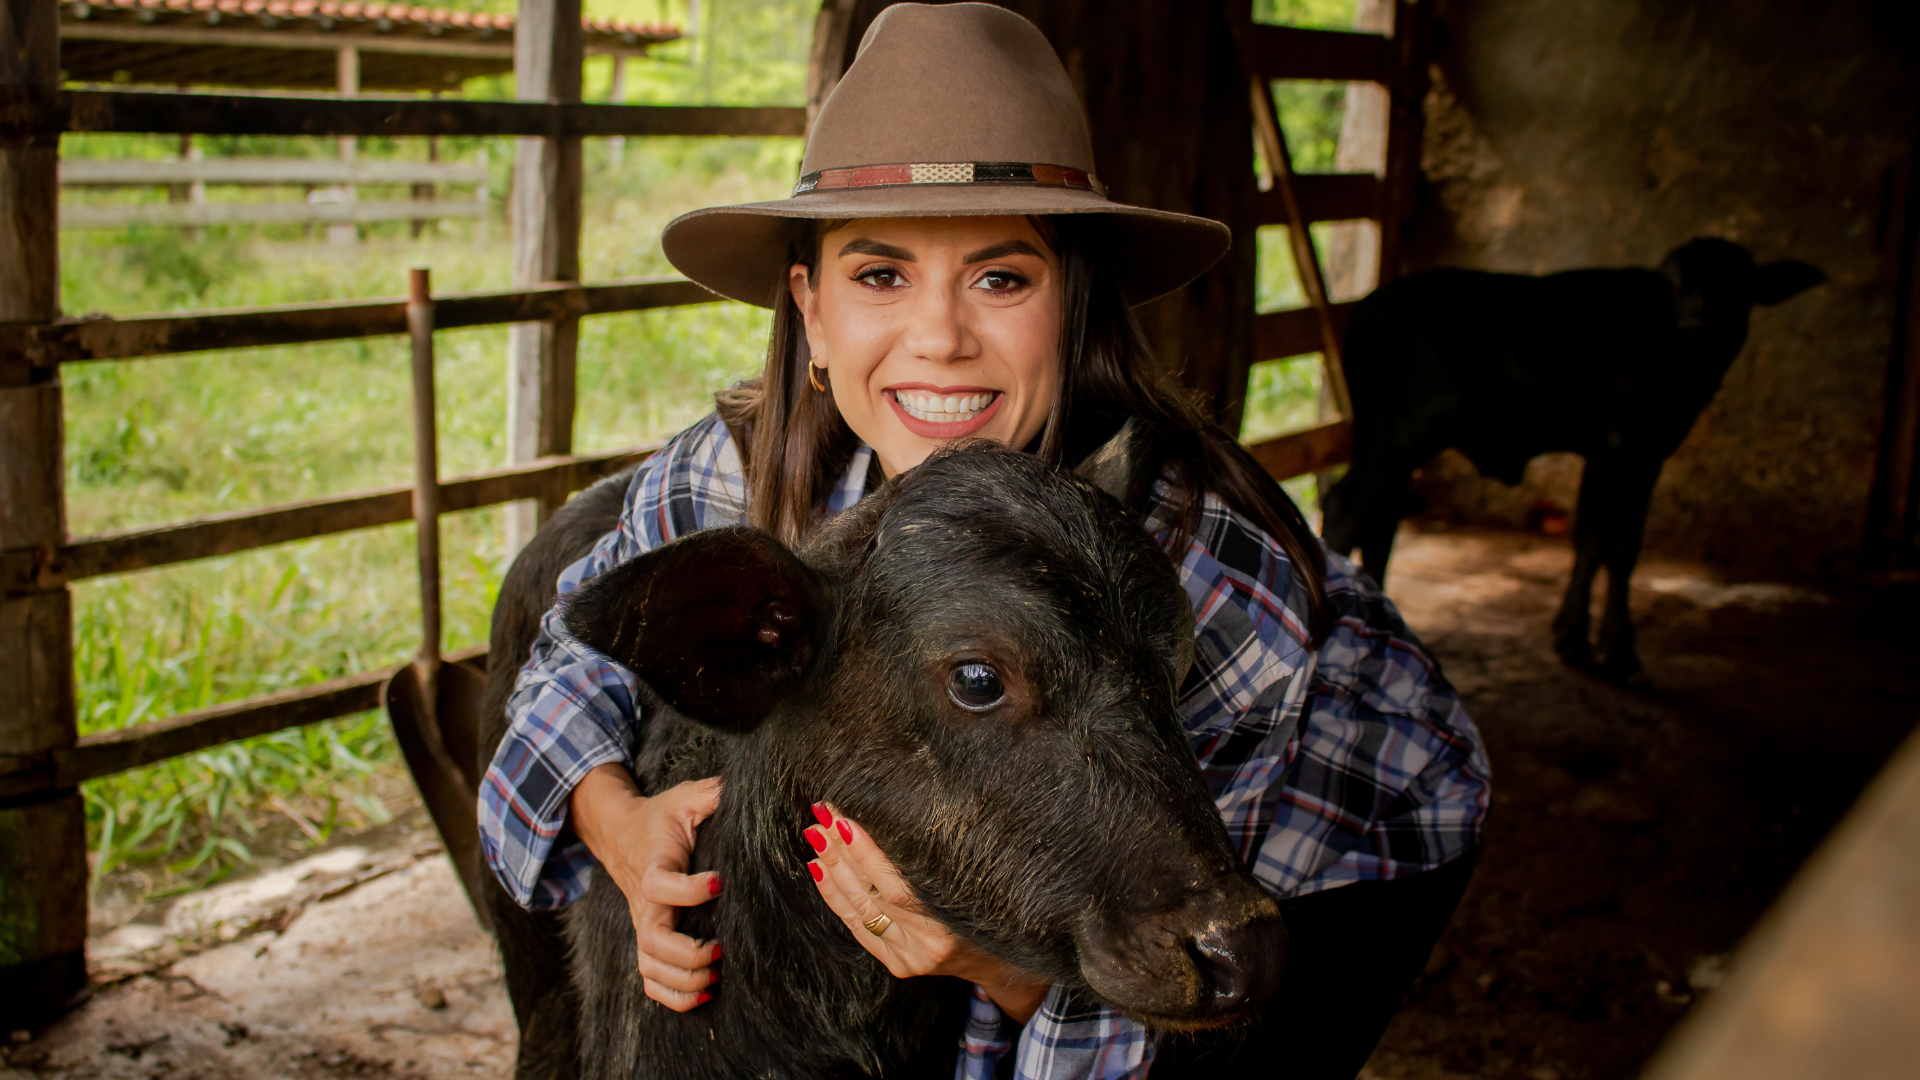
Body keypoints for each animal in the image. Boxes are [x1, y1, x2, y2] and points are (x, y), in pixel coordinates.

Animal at [1328, 238, 1820, 676]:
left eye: (1736, 285)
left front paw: (1574, 636)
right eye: (1677, 285)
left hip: (1391, 440)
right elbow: (1618, 546)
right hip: (1401, 434)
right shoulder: (1634, 448)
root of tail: (1370, 307)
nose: (1697, 329)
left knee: (1382, 518)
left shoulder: (1604, 454)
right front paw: (1615, 649)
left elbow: (1591, 538)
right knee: (1347, 503)